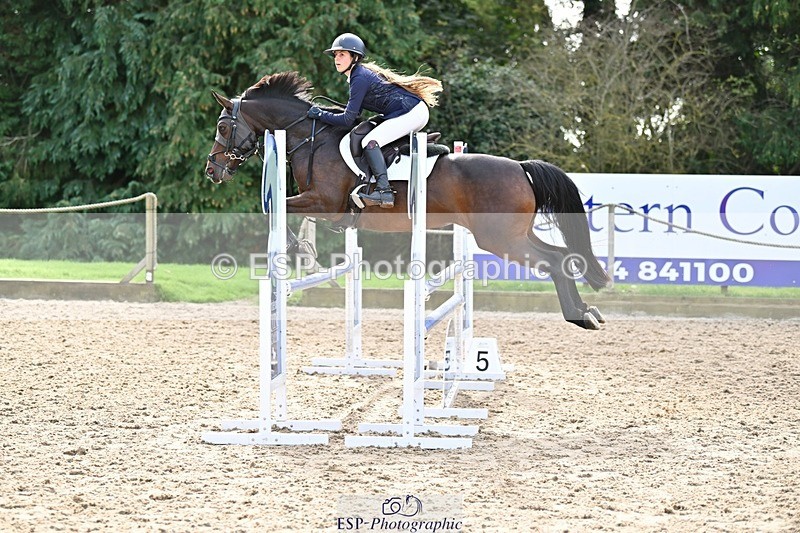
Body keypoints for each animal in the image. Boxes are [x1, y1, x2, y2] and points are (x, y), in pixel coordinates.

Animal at [204, 71, 610, 329]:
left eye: (223, 127)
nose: (212, 170)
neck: (311, 138)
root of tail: (521, 168)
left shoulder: (325, 203)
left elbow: (274, 207)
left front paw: (296, 247)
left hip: (500, 239)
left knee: (554, 262)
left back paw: (580, 317)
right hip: (514, 235)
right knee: (562, 256)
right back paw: (587, 311)